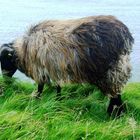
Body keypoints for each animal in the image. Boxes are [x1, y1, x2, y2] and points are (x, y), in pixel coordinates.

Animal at [0, 15, 133, 116]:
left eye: (5, 59)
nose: (5, 78)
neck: (24, 49)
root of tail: (125, 34)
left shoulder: (41, 69)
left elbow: (40, 87)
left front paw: (37, 99)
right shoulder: (53, 68)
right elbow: (58, 86)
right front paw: (58, 100)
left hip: (111, 72)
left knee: (115, 94)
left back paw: (113, 114)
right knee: (116, 94)